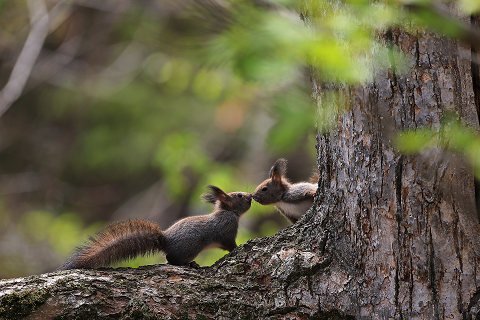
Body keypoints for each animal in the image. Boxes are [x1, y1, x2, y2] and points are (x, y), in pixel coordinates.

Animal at [61, 185, 251, 270]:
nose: (250, 195)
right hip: (191, 247)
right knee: (171, 259)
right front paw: (238, 248)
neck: (228, 212)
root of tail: (165, 240)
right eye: (239, 196)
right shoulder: (226, 230)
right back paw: (190, 264)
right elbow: (230, 244)